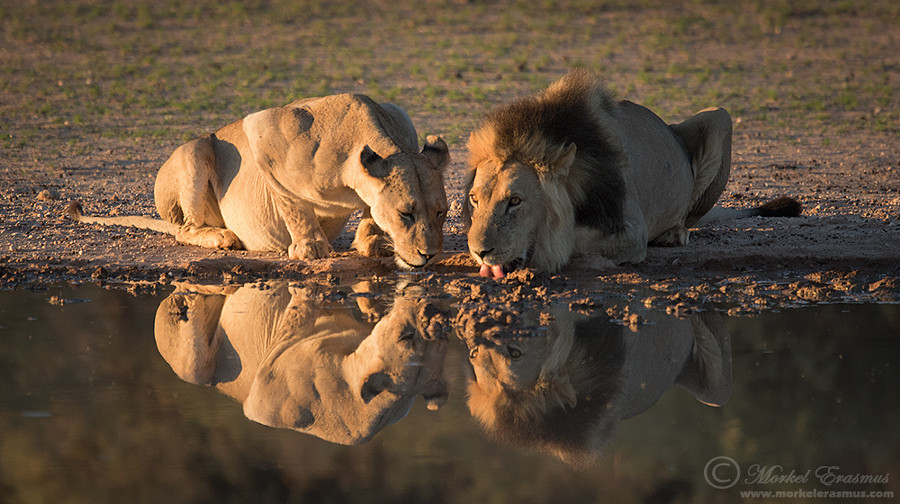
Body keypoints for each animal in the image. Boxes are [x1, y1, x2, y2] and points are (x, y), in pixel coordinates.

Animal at [70, 93, 450, 268]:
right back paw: (222, 236)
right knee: (184, 229)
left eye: (441, 213)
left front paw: (372, 240)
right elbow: (294, 204)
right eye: (405, 214)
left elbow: (370, 210)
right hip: (196, 148)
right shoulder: (264, 131)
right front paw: (310, 247)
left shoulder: (400, 118)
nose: (429, 255)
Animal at [464, 69, 800, 278]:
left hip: (720, 117)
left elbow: (572, 238)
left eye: (515, 201)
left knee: (689, 216)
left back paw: (674, 234)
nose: (479, 252)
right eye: (474, 200)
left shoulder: (632, 230)